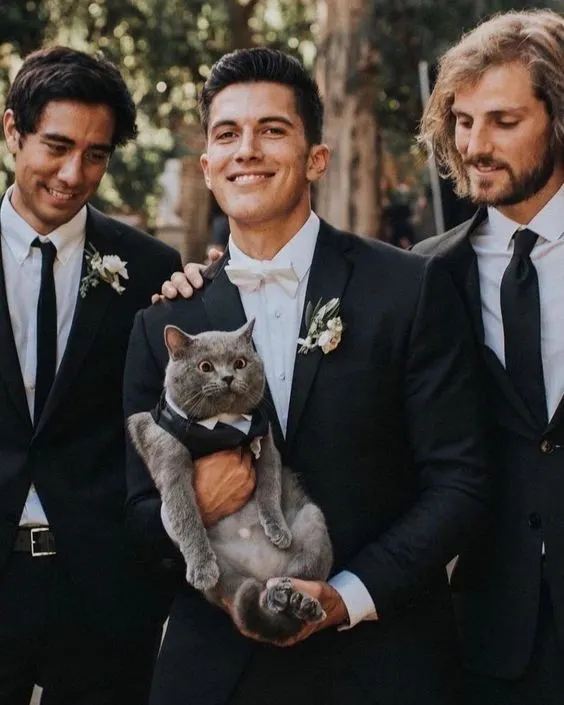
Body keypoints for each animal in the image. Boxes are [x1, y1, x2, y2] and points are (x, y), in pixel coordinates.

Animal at [126, 322, 334, 640]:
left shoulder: (266, 440)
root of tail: (263, 573)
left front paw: (277, 531)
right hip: (226, 579)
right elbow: (183, 512)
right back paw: (277, 598)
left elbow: (270, 487)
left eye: (240, 363)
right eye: (205, 366)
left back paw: (299, 602)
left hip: (312, 521)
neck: (221, 428)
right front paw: (201, 568)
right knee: (245, 593)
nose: (227, 377)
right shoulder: (168, 455)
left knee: (298, 576)